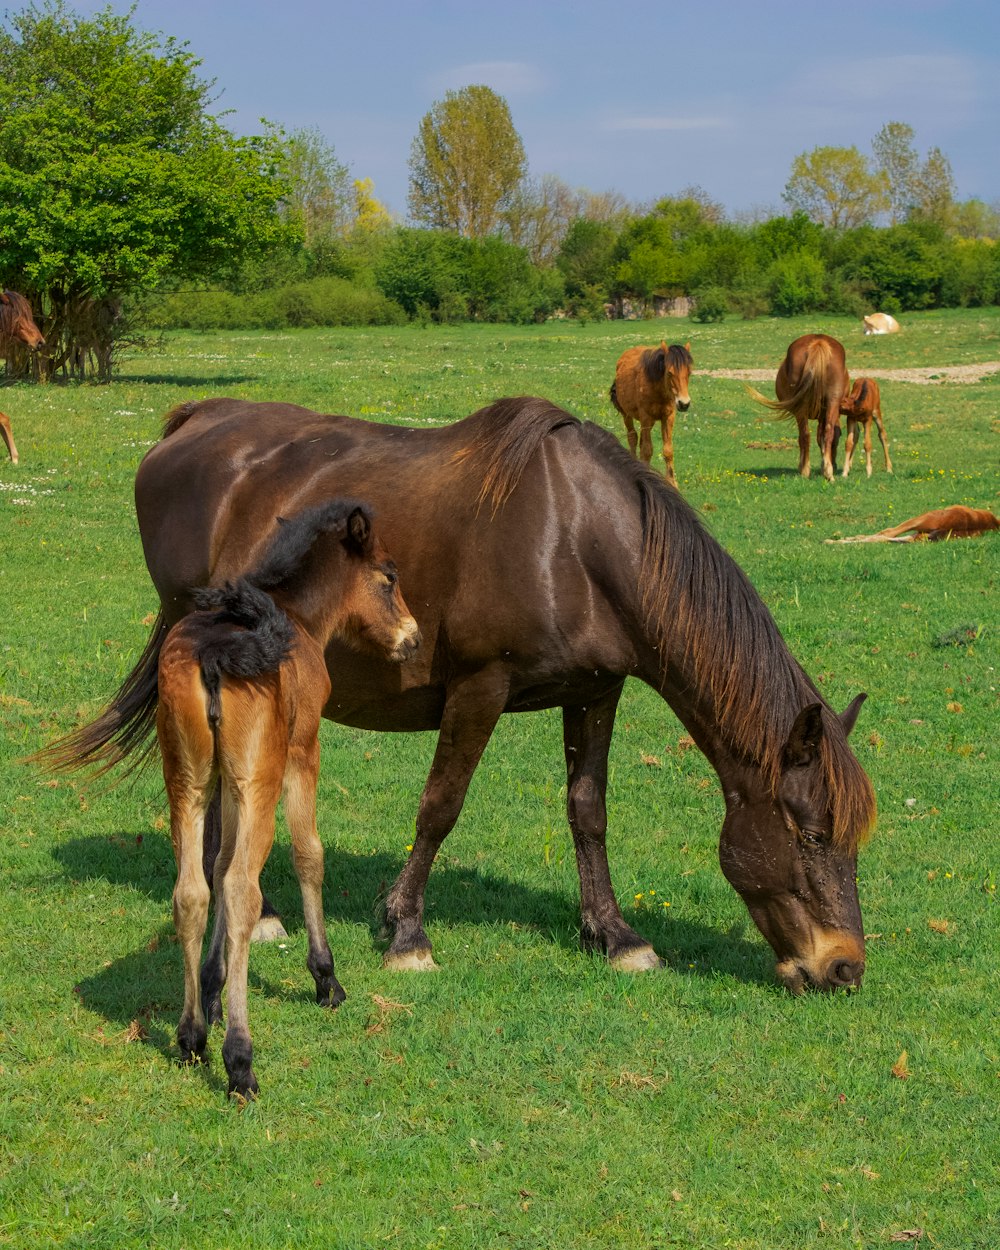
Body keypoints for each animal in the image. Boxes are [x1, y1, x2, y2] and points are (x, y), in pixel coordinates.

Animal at [43, 395, 880, 1000]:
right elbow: (441, 806)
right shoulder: (481, 686)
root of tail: (193, 421)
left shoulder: (596, 692)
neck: (577, 540)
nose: (843, 966)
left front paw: (614, 934)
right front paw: (406, 932)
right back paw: (268, 912)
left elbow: (588, 810)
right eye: (811, 833)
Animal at [155, 497, 417, 1095]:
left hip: (188, 782)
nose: (412, 638)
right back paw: (240, 1059)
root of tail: (216, 652)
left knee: (194, 890)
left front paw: (212, 988)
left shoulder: (223, 784)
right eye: (389, 576)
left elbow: (218, 861)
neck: (295, 616)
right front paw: (326, 978)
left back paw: (191, 1035)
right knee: (242, 890)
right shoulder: (302, 752)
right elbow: (307, 856)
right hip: (260, 782)